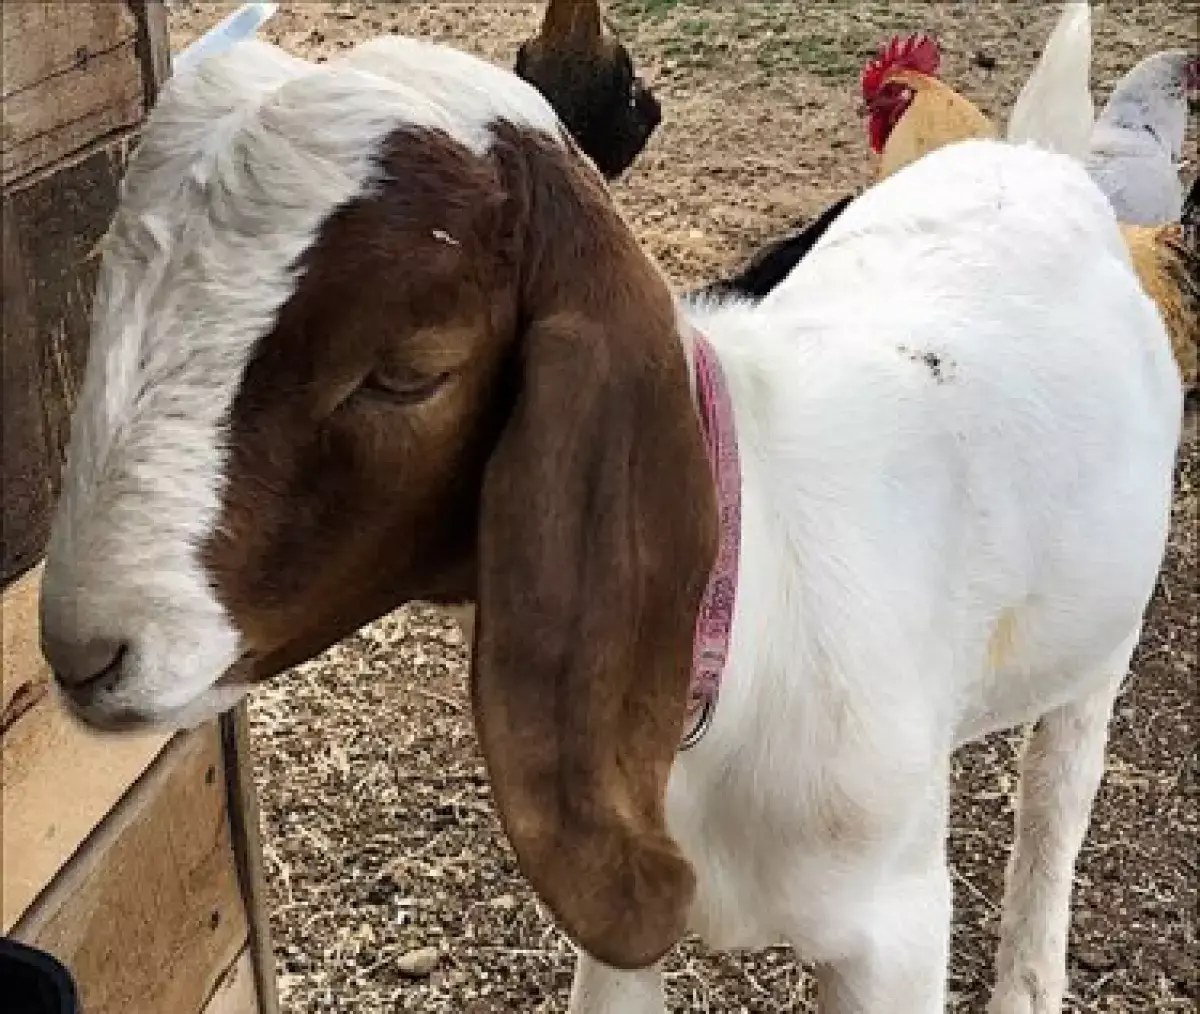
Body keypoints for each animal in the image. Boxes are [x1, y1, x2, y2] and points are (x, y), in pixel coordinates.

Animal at [39, 36, 1182, 1014]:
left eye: (407, 372)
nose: (85, 652)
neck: (752, 601)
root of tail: (1035, 159)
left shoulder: (892, 935)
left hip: (1103, 642)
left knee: (1057, 797)